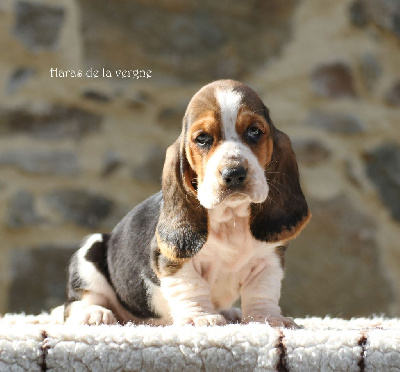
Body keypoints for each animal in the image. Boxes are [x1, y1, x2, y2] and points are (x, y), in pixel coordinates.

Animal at [64, 79, 310, 328]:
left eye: (254, 131)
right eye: (202, 138)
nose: (234, 173)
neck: (230, 217)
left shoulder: (268, 260)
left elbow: (262, 292)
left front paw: (269, 319)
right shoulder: (174, 261)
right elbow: (192, 286)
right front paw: (200, 317)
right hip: (90, 253)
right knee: (78, 302)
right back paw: (93, 313)